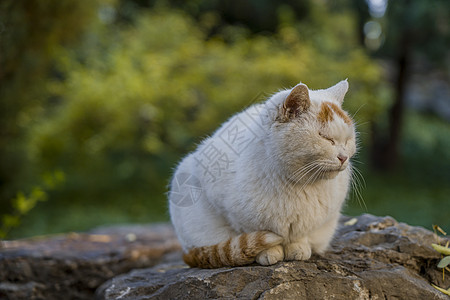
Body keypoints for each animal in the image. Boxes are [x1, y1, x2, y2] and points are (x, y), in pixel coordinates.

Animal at [167, 79, 356, 268]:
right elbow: (255, 235)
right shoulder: (229, 212)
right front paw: (268, 252)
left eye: (347, 140)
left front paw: (298, 248)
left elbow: (300, 234)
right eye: (326, 138)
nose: (343, 157)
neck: (295, 183)